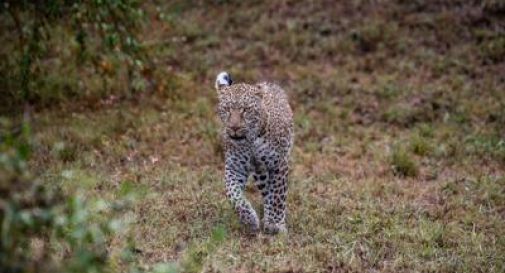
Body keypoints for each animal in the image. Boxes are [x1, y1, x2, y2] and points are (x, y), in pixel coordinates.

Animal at [214, 71, 294, 233]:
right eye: (227, 109)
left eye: (246, 110)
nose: (234, 127)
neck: (250, 142)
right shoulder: (234, 167)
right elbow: (232, 194)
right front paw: (249, 219)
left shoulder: (279, 164)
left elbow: (277, 195)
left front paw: (276, 224)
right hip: (260, 173)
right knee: (266, 190)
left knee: (272, 192)